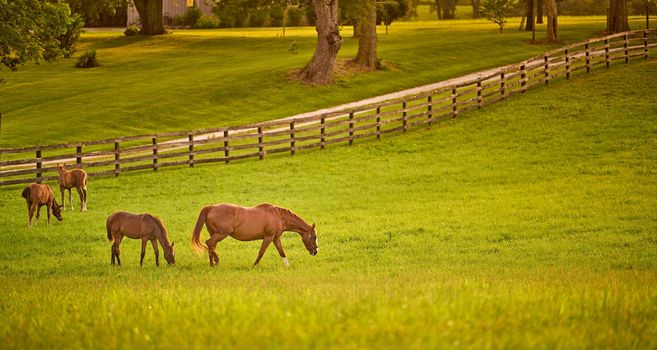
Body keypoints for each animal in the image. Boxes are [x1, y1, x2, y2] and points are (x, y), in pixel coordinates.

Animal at [190, 204, 318, 266]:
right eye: (314, 237)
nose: (316, 251)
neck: (278, 216)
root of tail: (211, 207)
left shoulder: (275, 238)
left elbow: (282, 252)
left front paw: (287, 266)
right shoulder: (268, 237)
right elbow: (261, 252)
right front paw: (254, 266)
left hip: (215, 233)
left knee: (211, 246)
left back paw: (212, 264)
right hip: (222, 234)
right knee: (209, 243)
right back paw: (216, 261)